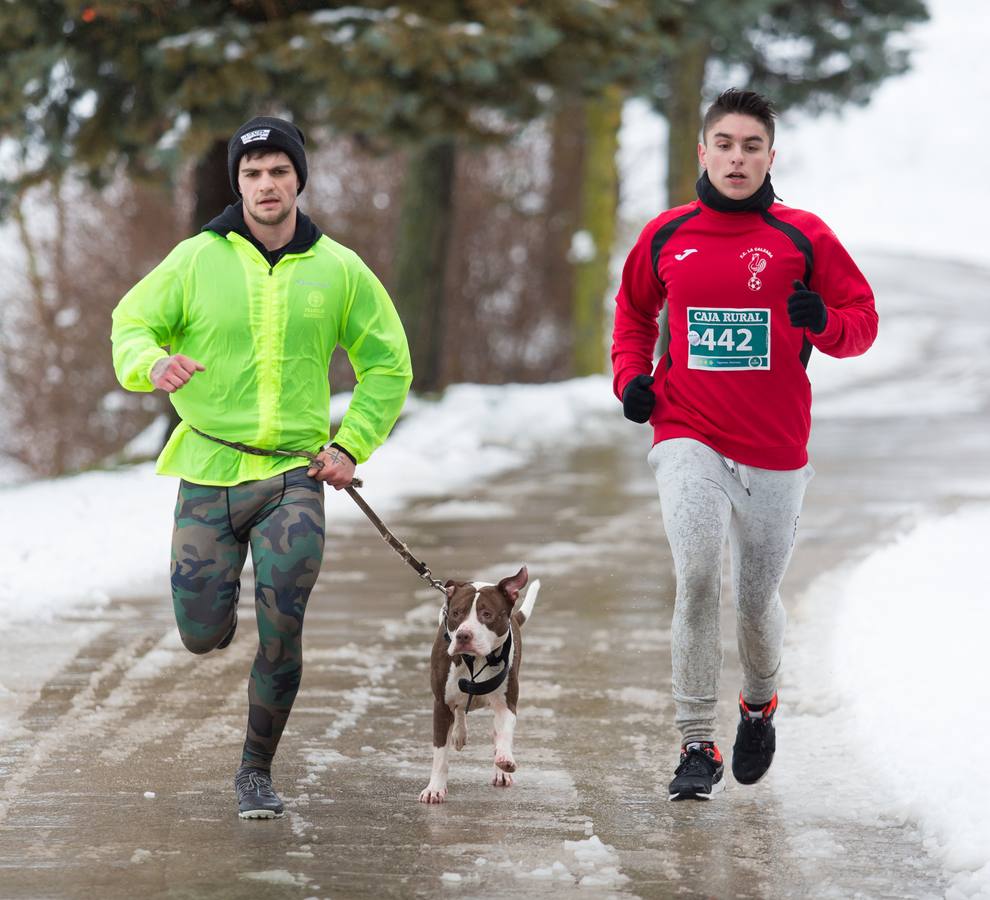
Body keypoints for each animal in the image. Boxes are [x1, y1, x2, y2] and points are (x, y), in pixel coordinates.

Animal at [418, 568, 544, 804]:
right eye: (456, 613)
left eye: (487, 614)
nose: (463, 635)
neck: (475, 660)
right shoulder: (441, 704)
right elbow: (440, 754)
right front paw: (435, 788)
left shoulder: (506, 704)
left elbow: (504, 733)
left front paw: (504, 761)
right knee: (459, 711)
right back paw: (459, 734)